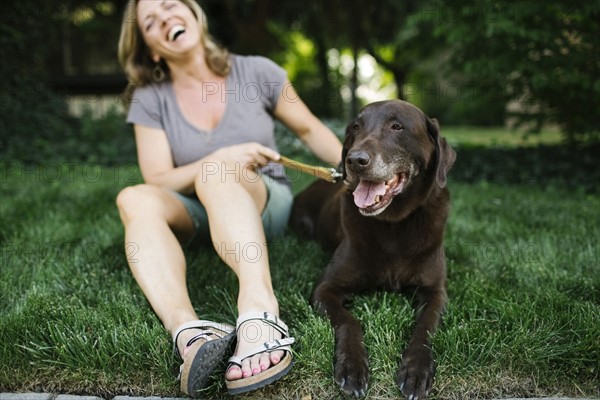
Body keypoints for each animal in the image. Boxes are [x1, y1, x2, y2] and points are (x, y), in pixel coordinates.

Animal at [290, 99, 454, 396]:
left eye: (397, 126)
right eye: (356, 127)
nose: (355, 160)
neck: (394, 224)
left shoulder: (435, 291)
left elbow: (425, 325)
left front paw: (416, 369)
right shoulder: (325, 289)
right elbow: (348, 320)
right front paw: (352, 367)